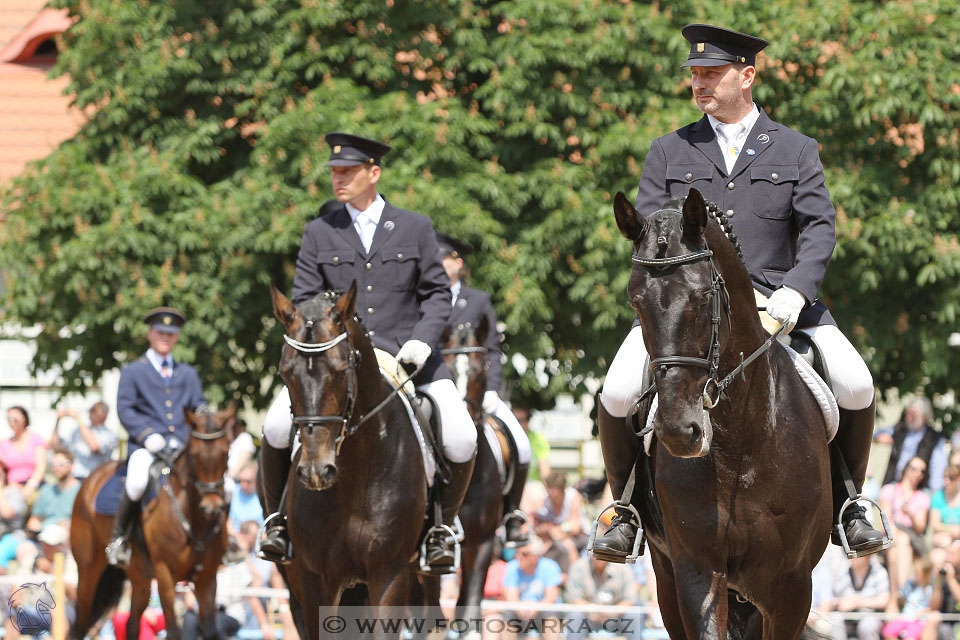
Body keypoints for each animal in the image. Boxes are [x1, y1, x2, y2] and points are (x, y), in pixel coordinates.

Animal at [70, 404, 238, 640]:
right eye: (194, 454)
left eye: (226, 452)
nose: (211, 508)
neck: (194, 522)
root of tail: (90, 480)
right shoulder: (164, 573)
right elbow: (174, 631)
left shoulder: (208, 577)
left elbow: (211, 631)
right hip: (88, 569)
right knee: (80, 623)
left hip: (139, 575)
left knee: (131, 623)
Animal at [616, 190, 832, 640]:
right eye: (635, 300)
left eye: (702, 296)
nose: (678, 430)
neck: (740, 438)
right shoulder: (697, 570)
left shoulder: (791, 587)